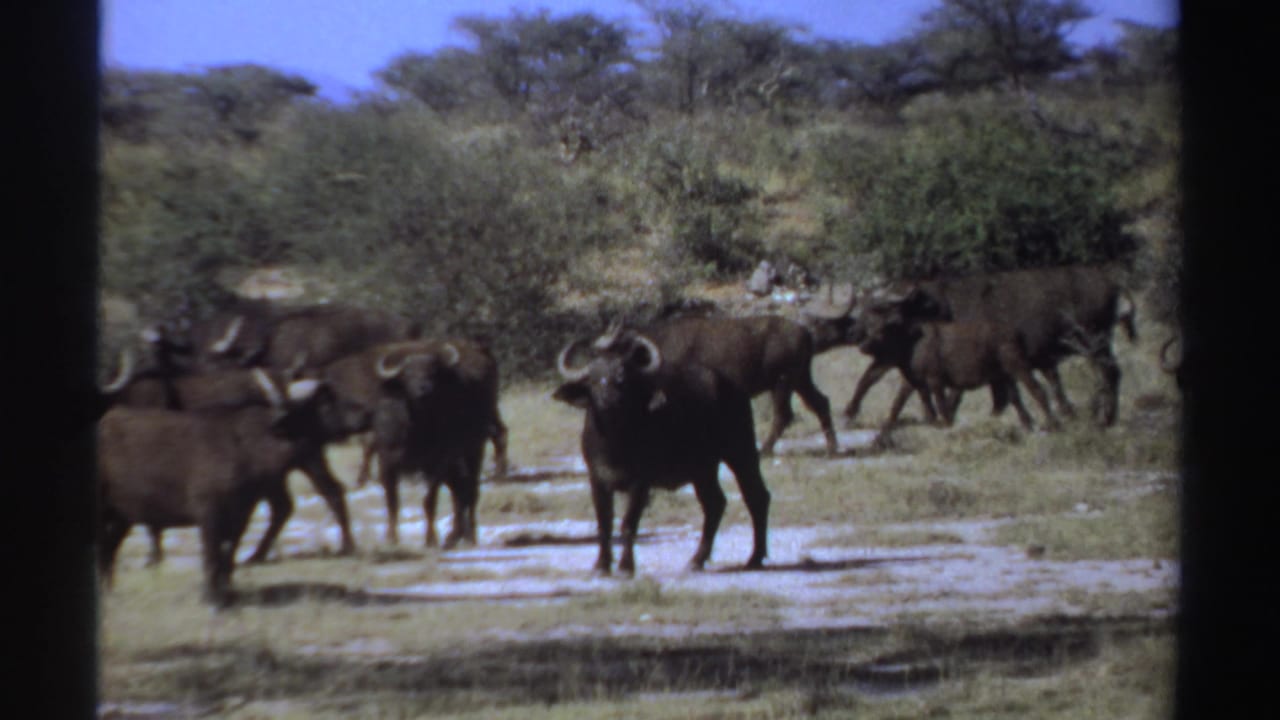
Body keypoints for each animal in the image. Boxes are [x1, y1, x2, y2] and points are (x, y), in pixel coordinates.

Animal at [98, 371, 344, 606]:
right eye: (310, 411)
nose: (339, 429)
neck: (246, 448)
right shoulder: (209, 514)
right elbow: (212, 556)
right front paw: (212, 598)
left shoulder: (241, 515)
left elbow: (229, 555)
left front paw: (226, 593)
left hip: (122, 517)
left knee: (109, 550)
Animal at [553, 326, 771, 576]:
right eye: (594, 379)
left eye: (623, 378)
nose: (609, 400)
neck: (613, 442)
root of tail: (732, 387)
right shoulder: (597, 479)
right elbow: (604, 524)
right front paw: (601, 565)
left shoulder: (640, 483)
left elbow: (629, 523)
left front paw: (626, 566)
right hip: (703, 469)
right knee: (715, 504)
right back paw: (697, 560)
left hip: (740, 451)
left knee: (756, 496)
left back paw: (754, 557)